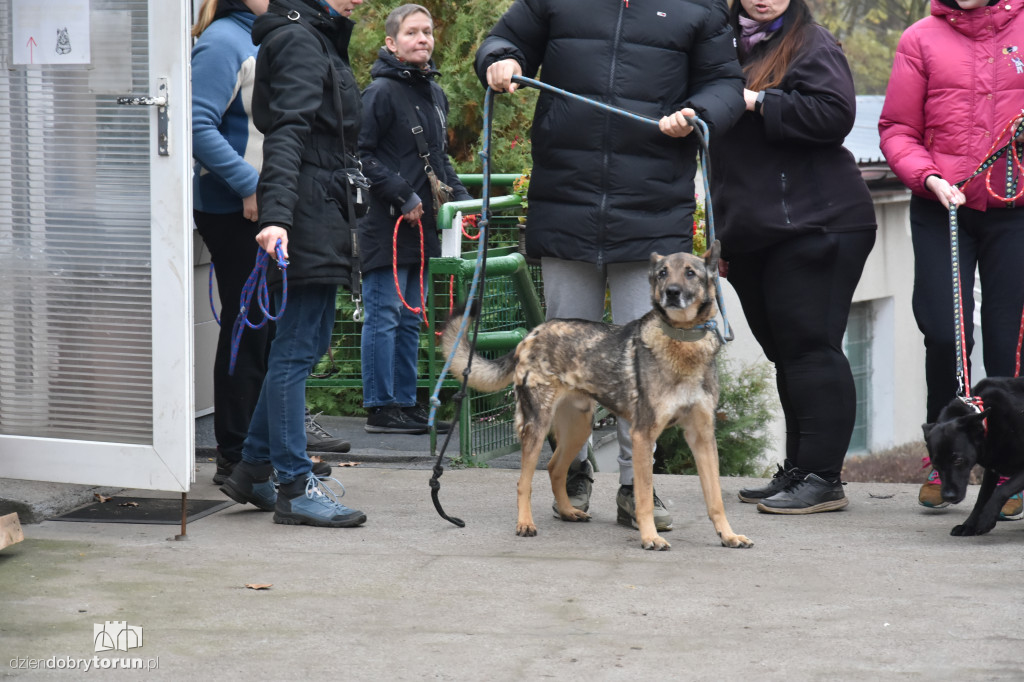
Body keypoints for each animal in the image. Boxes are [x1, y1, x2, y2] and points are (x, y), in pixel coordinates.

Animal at [440, 241, 753, 548]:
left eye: (690, 273)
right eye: (663, 273)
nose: (672, 293)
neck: (682, 339)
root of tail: (531, 334)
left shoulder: (702, 437)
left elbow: (715, 498)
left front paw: (728, 535)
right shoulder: (643, 434)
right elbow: (643, 497)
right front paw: (650, 537)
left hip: (579, 427)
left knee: (554, 468)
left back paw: (568, 511)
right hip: (537, 427)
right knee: (523, 482)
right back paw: (525, 523)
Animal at [921, 374, 1024, 532]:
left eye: (958, 460)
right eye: (935, 464)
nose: (948, 496)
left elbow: (1002, 489)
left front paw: (987, 518)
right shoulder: (992, 468)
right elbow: (982, 497)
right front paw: (968, 525)